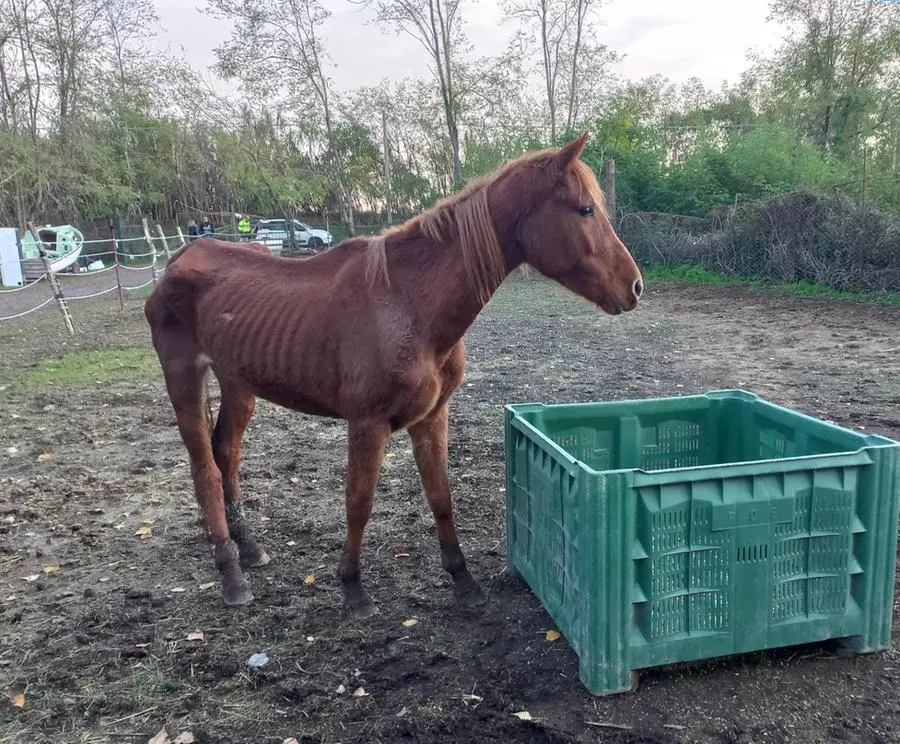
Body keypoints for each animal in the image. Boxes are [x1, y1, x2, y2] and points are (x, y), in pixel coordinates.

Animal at [144, 134, 644, 616]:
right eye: (585, 209)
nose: (635, 286)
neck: (408, 304)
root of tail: (181, 256)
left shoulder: (432, 417)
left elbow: (441, 495)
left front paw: (463, 581)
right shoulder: (368, 424)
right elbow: (359, 502)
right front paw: (353, 588)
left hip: (237, 382)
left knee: (226, 454)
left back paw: (249, 549)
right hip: (183, 378)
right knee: (205, 470)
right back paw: (231, 574)